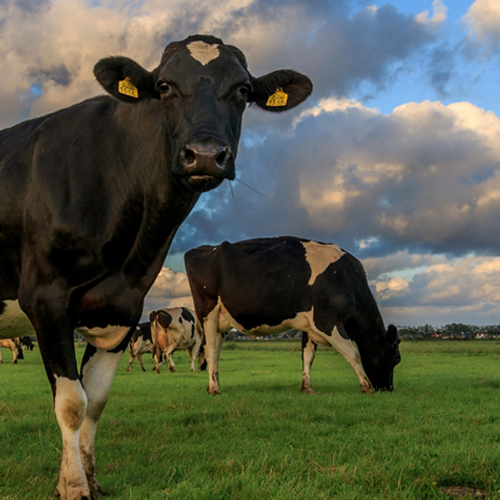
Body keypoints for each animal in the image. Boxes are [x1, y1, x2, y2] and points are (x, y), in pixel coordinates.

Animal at [0, 33, 312, 498]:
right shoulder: (45, 298)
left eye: (243, 90)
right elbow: (71, 403)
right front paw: (73, 486)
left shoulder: (122, 309)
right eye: (164, 86)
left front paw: (91, 479)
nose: (205, 155)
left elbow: (95, 400)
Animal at [186, 236, 400, 396]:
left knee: (216, 352)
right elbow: (352, 353)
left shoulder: (310, 325)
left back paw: (213, 385)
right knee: (210, 350)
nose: (388, 388)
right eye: (396, 358)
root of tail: (204, 248)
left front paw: (307, 388)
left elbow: (308, 356)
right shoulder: (326, 321)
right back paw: (215, 389)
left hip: (221, 322)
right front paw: (367, 386)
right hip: (208, 313)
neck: (347, 281)